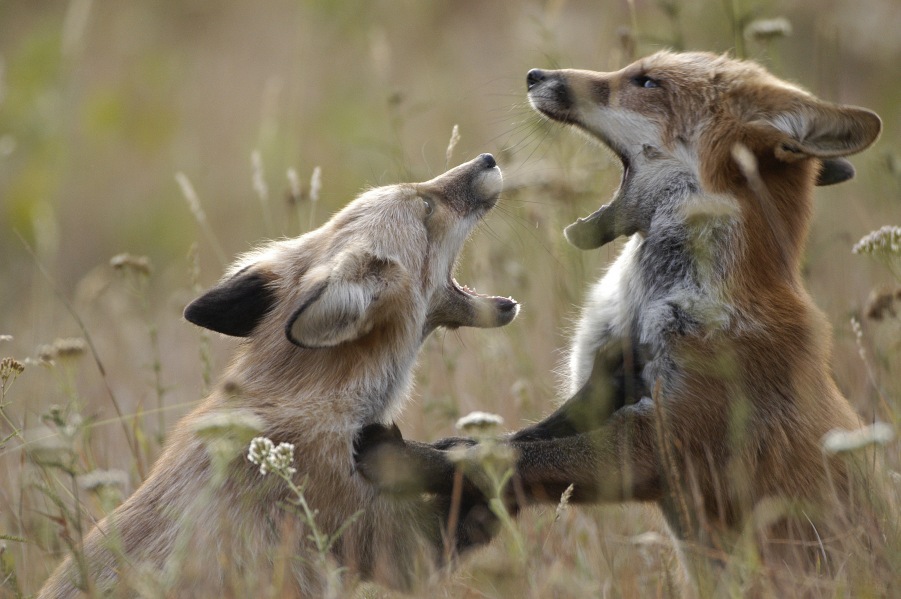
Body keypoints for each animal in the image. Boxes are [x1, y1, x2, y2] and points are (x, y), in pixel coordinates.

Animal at [354, 52, 887, 594]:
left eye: (645, 82)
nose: (536, 76)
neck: (652, 302)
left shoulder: (667, 442)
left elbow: (512, 457)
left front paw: (409, 460)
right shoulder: (611, 387)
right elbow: (526, 439)